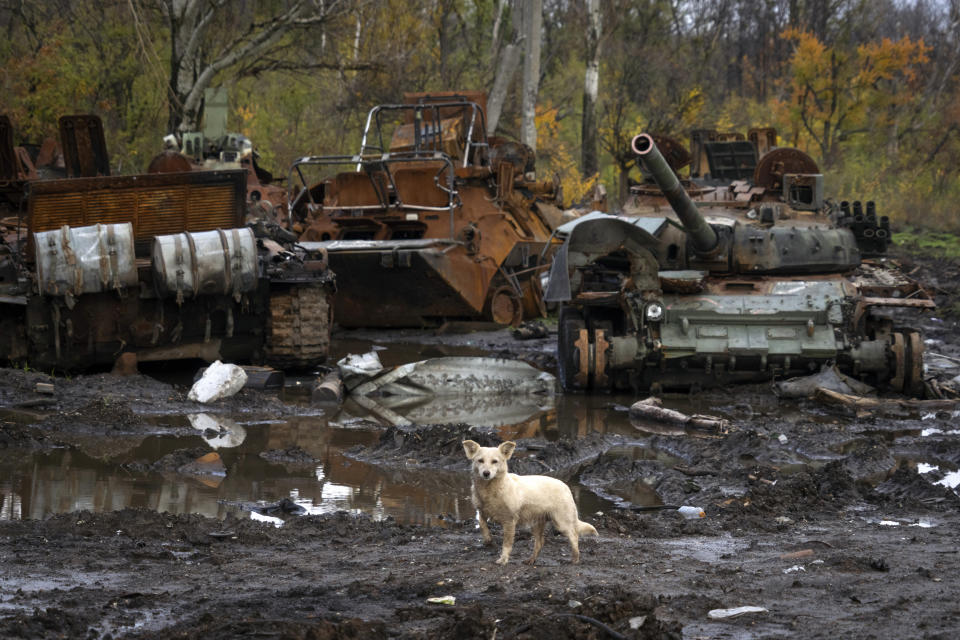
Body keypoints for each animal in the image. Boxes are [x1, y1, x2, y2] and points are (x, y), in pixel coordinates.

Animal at [462, 440, 596, 564]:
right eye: (480, 460)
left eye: (495, 461)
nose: (486, 473)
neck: (490, 490)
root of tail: (565, 486)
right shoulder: (481, 511)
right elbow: (482, 524)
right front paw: (488, 540)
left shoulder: (510, 521)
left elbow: (507, 544)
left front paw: (503, 559)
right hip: (537, 523)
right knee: (540, 542)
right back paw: (531, 560)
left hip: (561, 522)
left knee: (574, 536)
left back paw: (575, 559)